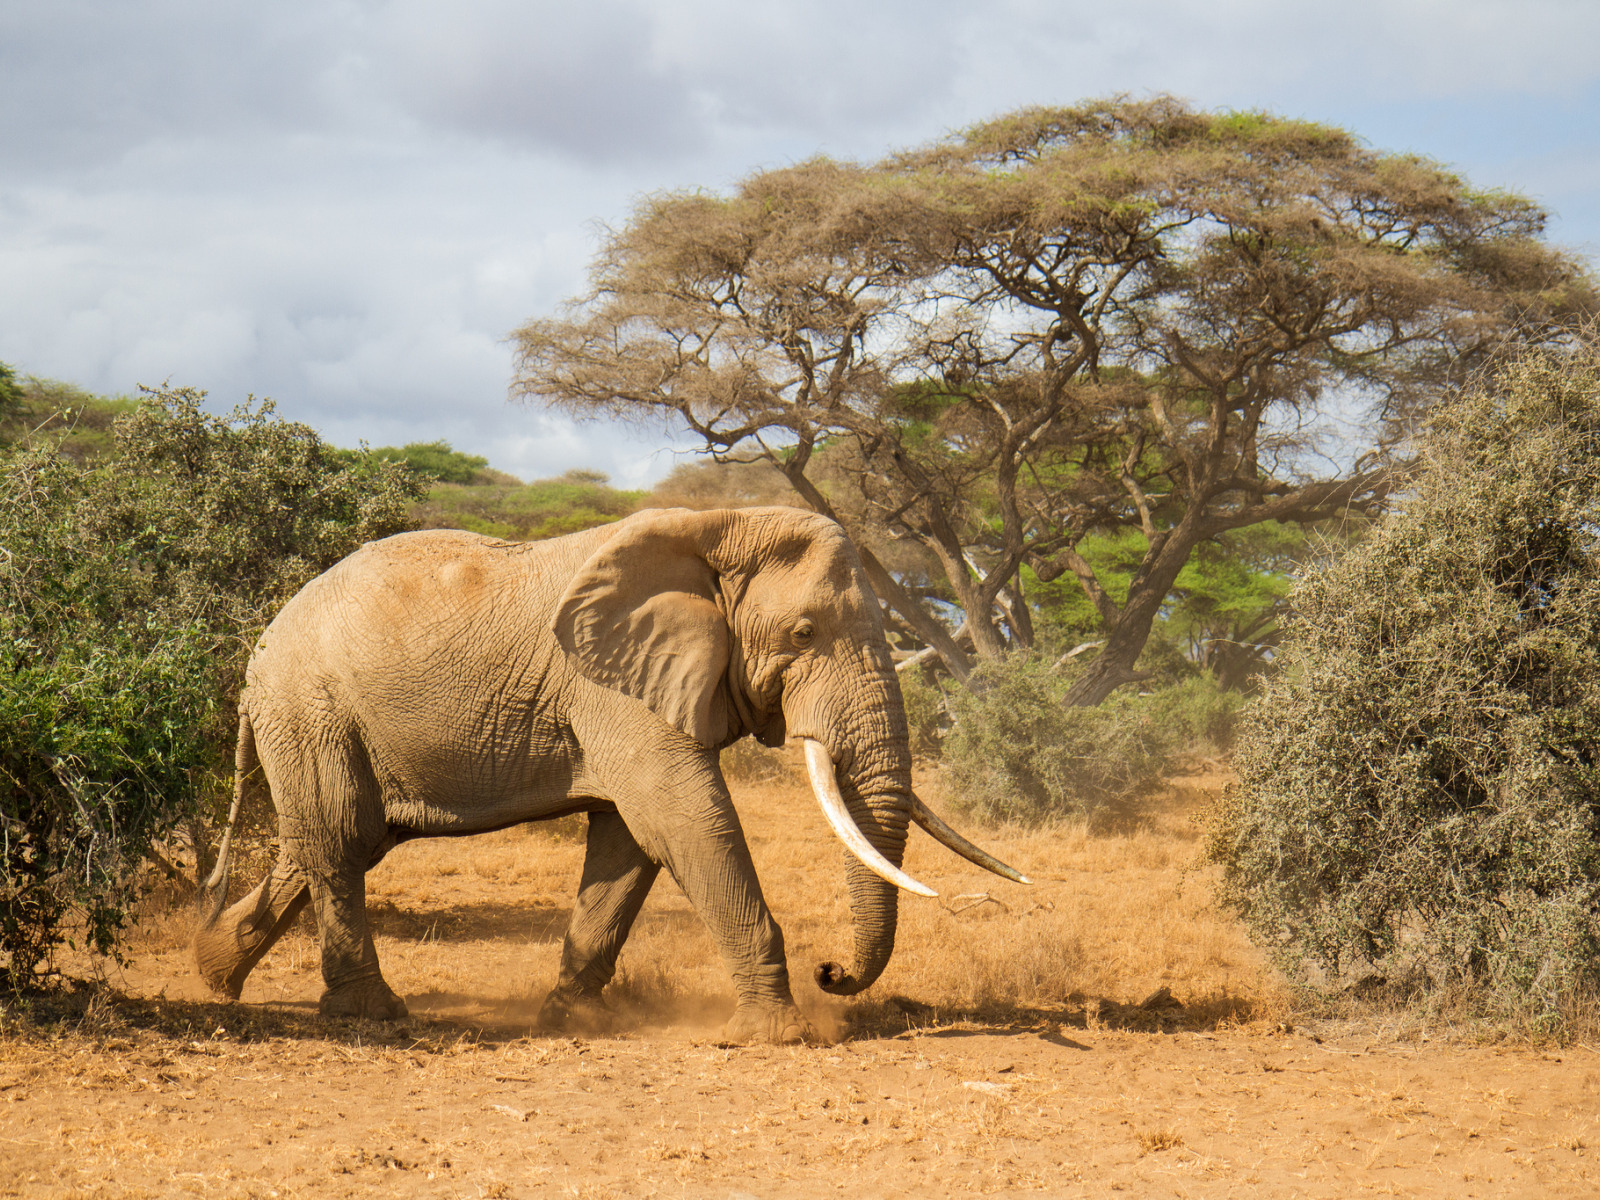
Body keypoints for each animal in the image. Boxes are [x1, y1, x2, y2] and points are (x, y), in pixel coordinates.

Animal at [193, 508, 1024, 1043]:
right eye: (803, 633)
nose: (833, 972)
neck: (719, 524)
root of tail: (258, 650)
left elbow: (629, 842)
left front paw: (576, 1022)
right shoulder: (613, 685)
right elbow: (684, 816)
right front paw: (775, 1036)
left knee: (333, 842)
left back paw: (213, 971)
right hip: (311, 707)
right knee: (339, 840)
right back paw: (370, 1015)